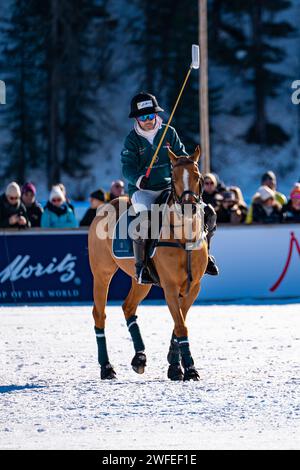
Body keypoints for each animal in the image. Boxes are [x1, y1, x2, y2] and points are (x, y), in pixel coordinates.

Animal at [88, 147, 207, 382]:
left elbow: (179, 324)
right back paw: (107, 367)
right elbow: (181, 326)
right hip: (102, 273)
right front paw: (190, 369)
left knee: (128, 307)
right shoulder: (170, 287)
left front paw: (174, 365)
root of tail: (105, 206)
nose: (189, 208)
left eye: (198, 176)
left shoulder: (193, 287)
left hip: (141, 280)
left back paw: (139, 358)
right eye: (174, 178)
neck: (183, 237)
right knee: (99, 314)